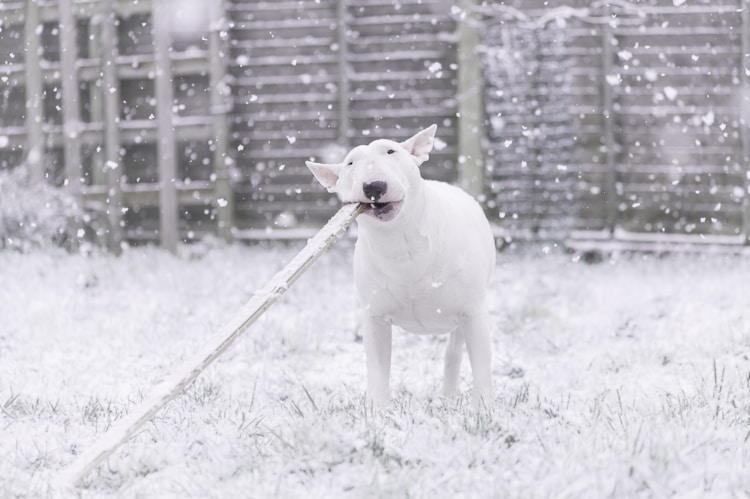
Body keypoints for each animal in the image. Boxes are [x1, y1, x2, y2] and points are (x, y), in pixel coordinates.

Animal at [308, 123, 496, 408]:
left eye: (391, 151)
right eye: (350, 162)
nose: (374, 186)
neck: (401, 245)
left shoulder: (474, 312)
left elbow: (482, 368)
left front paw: (483, 410)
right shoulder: (374, 317)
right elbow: (377, 369)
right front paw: (378, 411)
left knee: (453, 351)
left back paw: (449, 395)